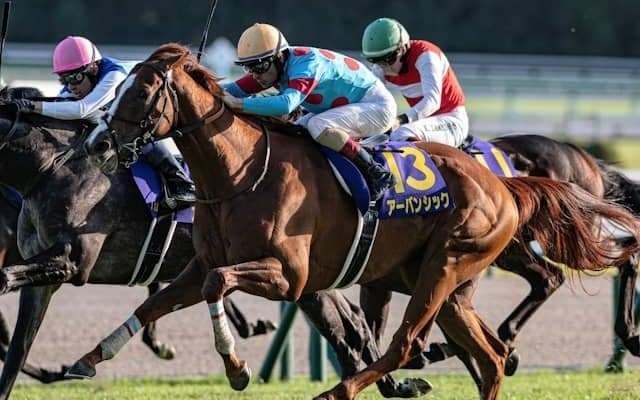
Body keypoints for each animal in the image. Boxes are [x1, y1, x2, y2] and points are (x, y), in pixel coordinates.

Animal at [76, 43, 640, 400]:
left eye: (142, 93)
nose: (98, 144)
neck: (240, 173)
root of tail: (504, 184)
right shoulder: (199, 267)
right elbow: (154, 303)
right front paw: (86, 359)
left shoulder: (289, 276)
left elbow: (220, 285)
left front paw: (237, 368)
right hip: (446, 284)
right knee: (491, 356)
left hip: (445, 266)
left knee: (411, 343)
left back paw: (339, 389)